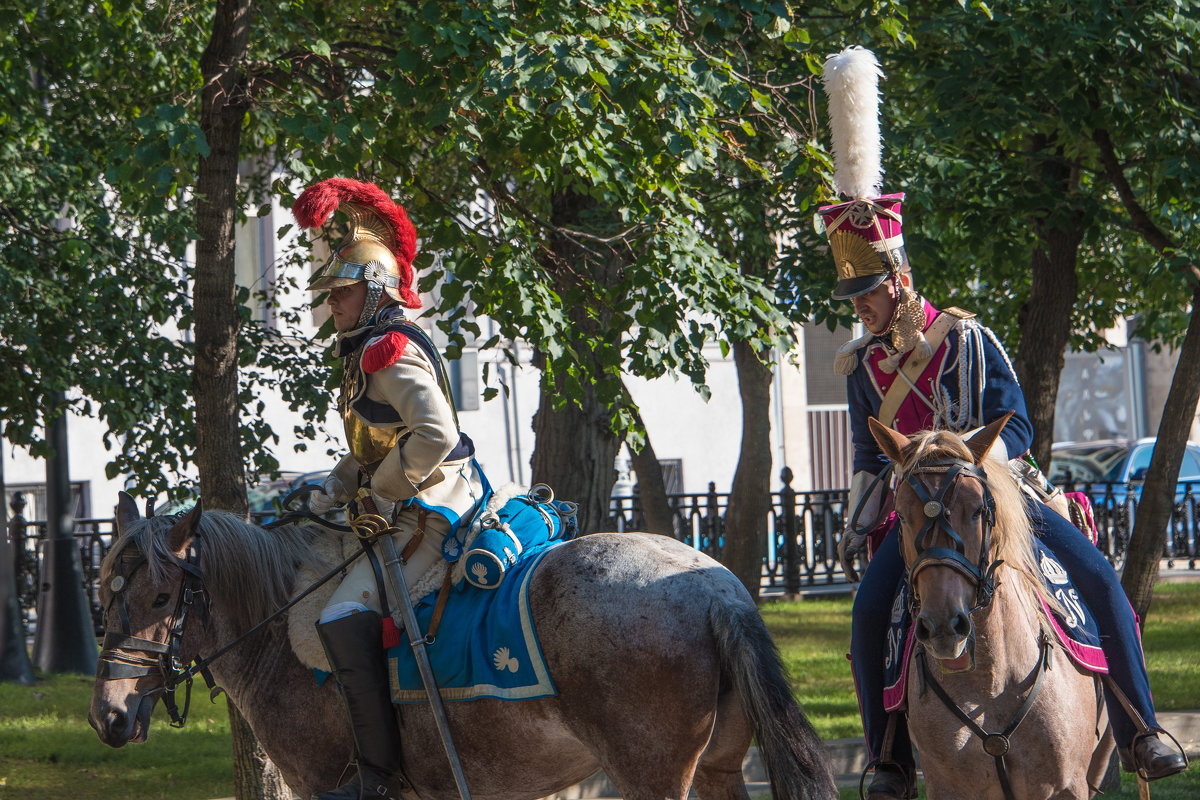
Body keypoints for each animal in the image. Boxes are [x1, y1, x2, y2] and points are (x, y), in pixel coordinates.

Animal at [88, 494, 835, 800]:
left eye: (160, 598)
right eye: (101, 594)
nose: (108, 715)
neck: (280, 629)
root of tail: (715, 587)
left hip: (651, 775)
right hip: (716, 770)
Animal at [873, 419, 1113, 800]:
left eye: (978, 509)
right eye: (903, 516)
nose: (943, 626)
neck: (990, 681)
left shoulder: (1067, 787)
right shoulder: (946, 789)